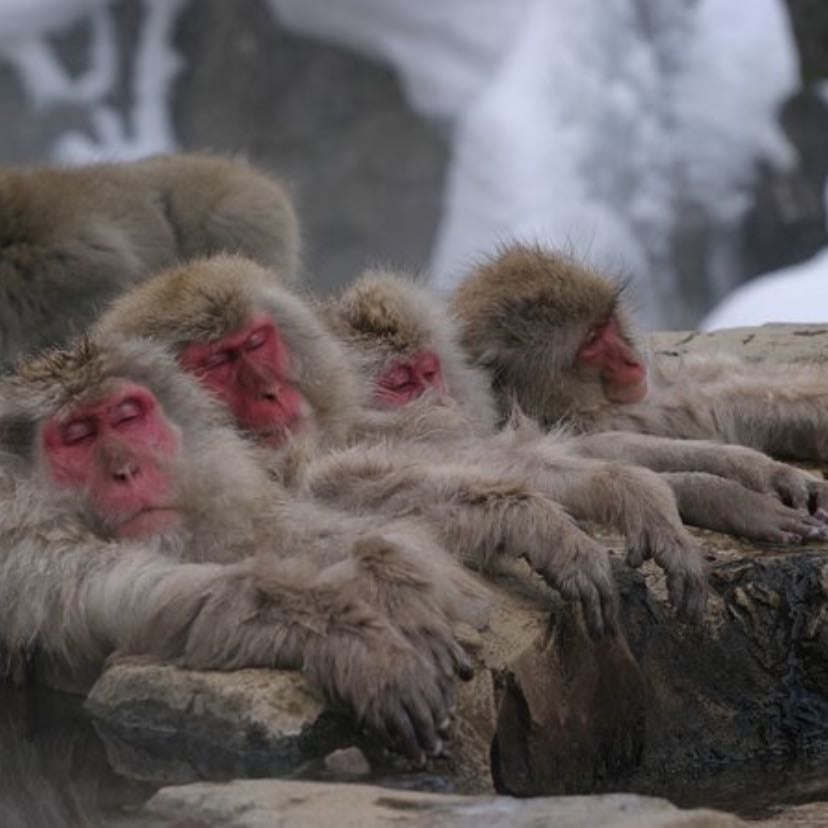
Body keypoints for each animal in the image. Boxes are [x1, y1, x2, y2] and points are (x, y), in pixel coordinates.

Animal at [0, 333, 483, 761]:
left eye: (126, 418)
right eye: (78, 436)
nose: (126, 470)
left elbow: (297, 532)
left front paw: (395, 585)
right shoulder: (32, 555)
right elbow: (150, 601)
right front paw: (355, 641)